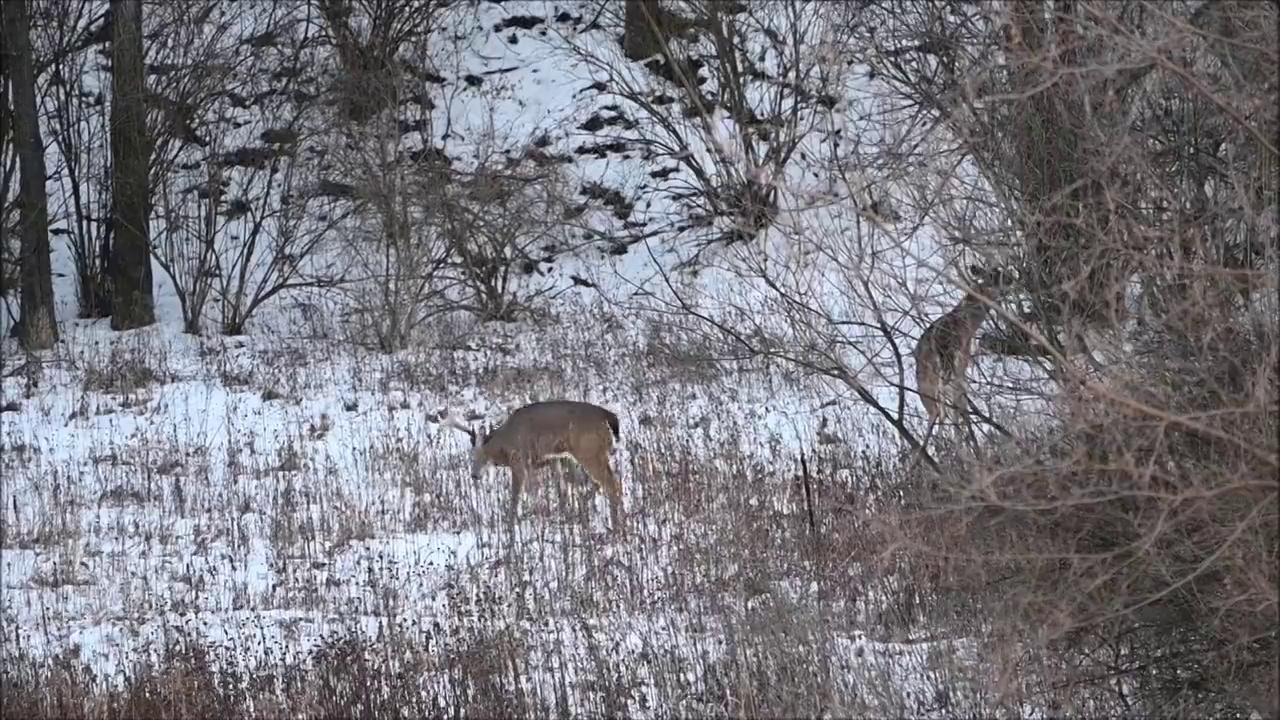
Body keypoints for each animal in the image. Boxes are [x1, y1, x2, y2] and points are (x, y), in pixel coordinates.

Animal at [435, 399, 624, 530]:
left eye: (476, 454)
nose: (474, 475)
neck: (505, 442)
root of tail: (609, 416)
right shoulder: (551, 460)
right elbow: (560, 490)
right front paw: (562, 515)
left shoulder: (519, 461)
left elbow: (517, 496)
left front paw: (512, 522)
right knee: (612, 483)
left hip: (588, 451)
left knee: (611, 484)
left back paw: (616, 526)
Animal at [916, 263, 1013, 448]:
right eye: (993, 275)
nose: (1012, 279)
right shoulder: (962, 360)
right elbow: (961, 402)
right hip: (946, 364)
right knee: (944, 407)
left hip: (926, 383)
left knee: (935, 411)